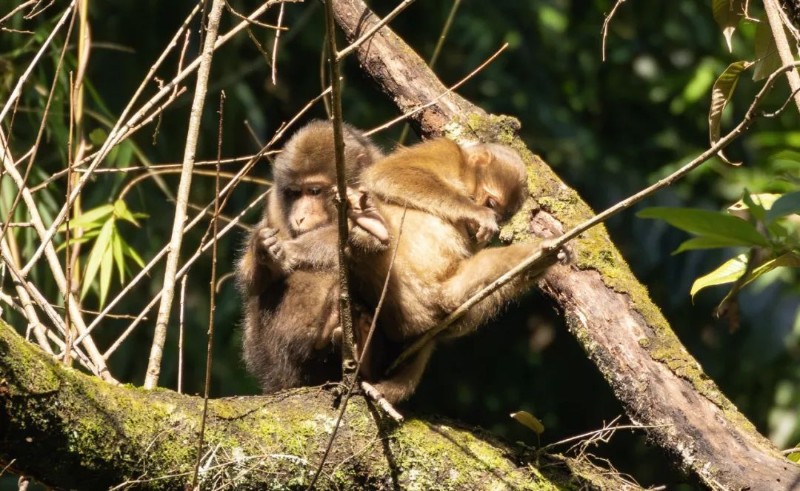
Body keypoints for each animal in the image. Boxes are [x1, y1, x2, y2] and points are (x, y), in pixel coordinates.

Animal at [234, 121, 388, 394]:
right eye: (295, 193)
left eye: (315, 191)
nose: (300, 217)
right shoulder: (274, 204)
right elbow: (254, 284)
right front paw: (264, 251)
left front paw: (293, 250)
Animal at [350, 138, 564, 404]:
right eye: (491, 204)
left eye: (502, 216)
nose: (492, 217)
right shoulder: (447, 149)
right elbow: (388, 174)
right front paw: (477, 213)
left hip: (443, 294)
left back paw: (541, 255)